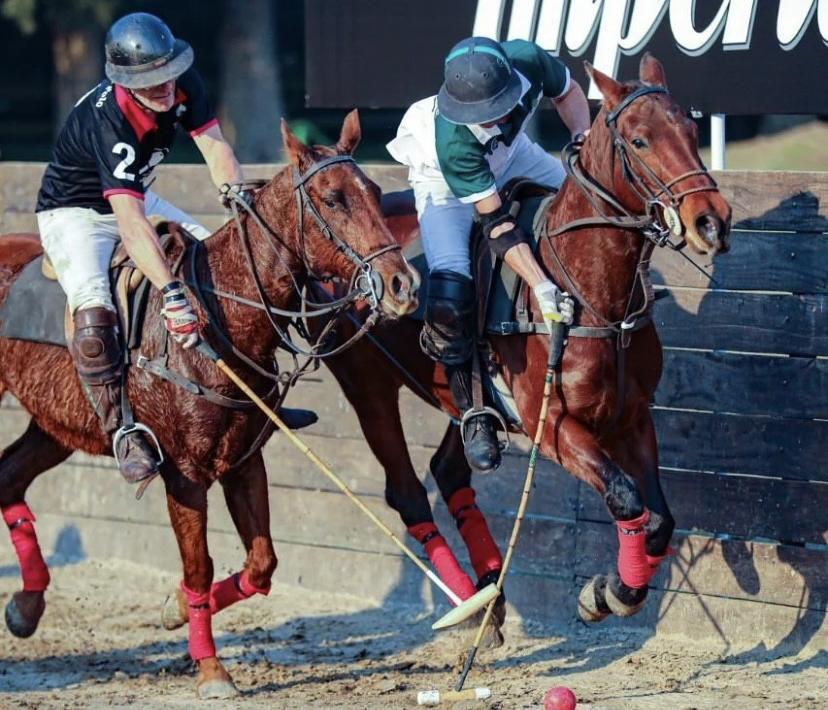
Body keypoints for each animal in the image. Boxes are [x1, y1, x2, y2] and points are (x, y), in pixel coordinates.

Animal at [0, 111, 418, 700]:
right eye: (333, 199)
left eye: (377, 193)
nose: (402, 285)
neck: (221, 320)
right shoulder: (185, 471)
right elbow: (199, 567)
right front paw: (212, 669)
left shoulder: (244, 460)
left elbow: (262, 564)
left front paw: (172, 608)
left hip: (53, 424)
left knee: (9, 476)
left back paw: (26, 606)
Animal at [314, 54, 728, 636]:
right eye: (640, 140)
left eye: (692, 131)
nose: (711, 221)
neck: (594, 292)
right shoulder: (549, 423)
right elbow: (626, 498)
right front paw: (608, 593)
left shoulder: (632, 415)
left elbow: (660, 519)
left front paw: (612, 590)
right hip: (366, 383)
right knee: (408, 490)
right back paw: (469, 604)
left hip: (459, 400)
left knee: (452, 466)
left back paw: (490, 594)